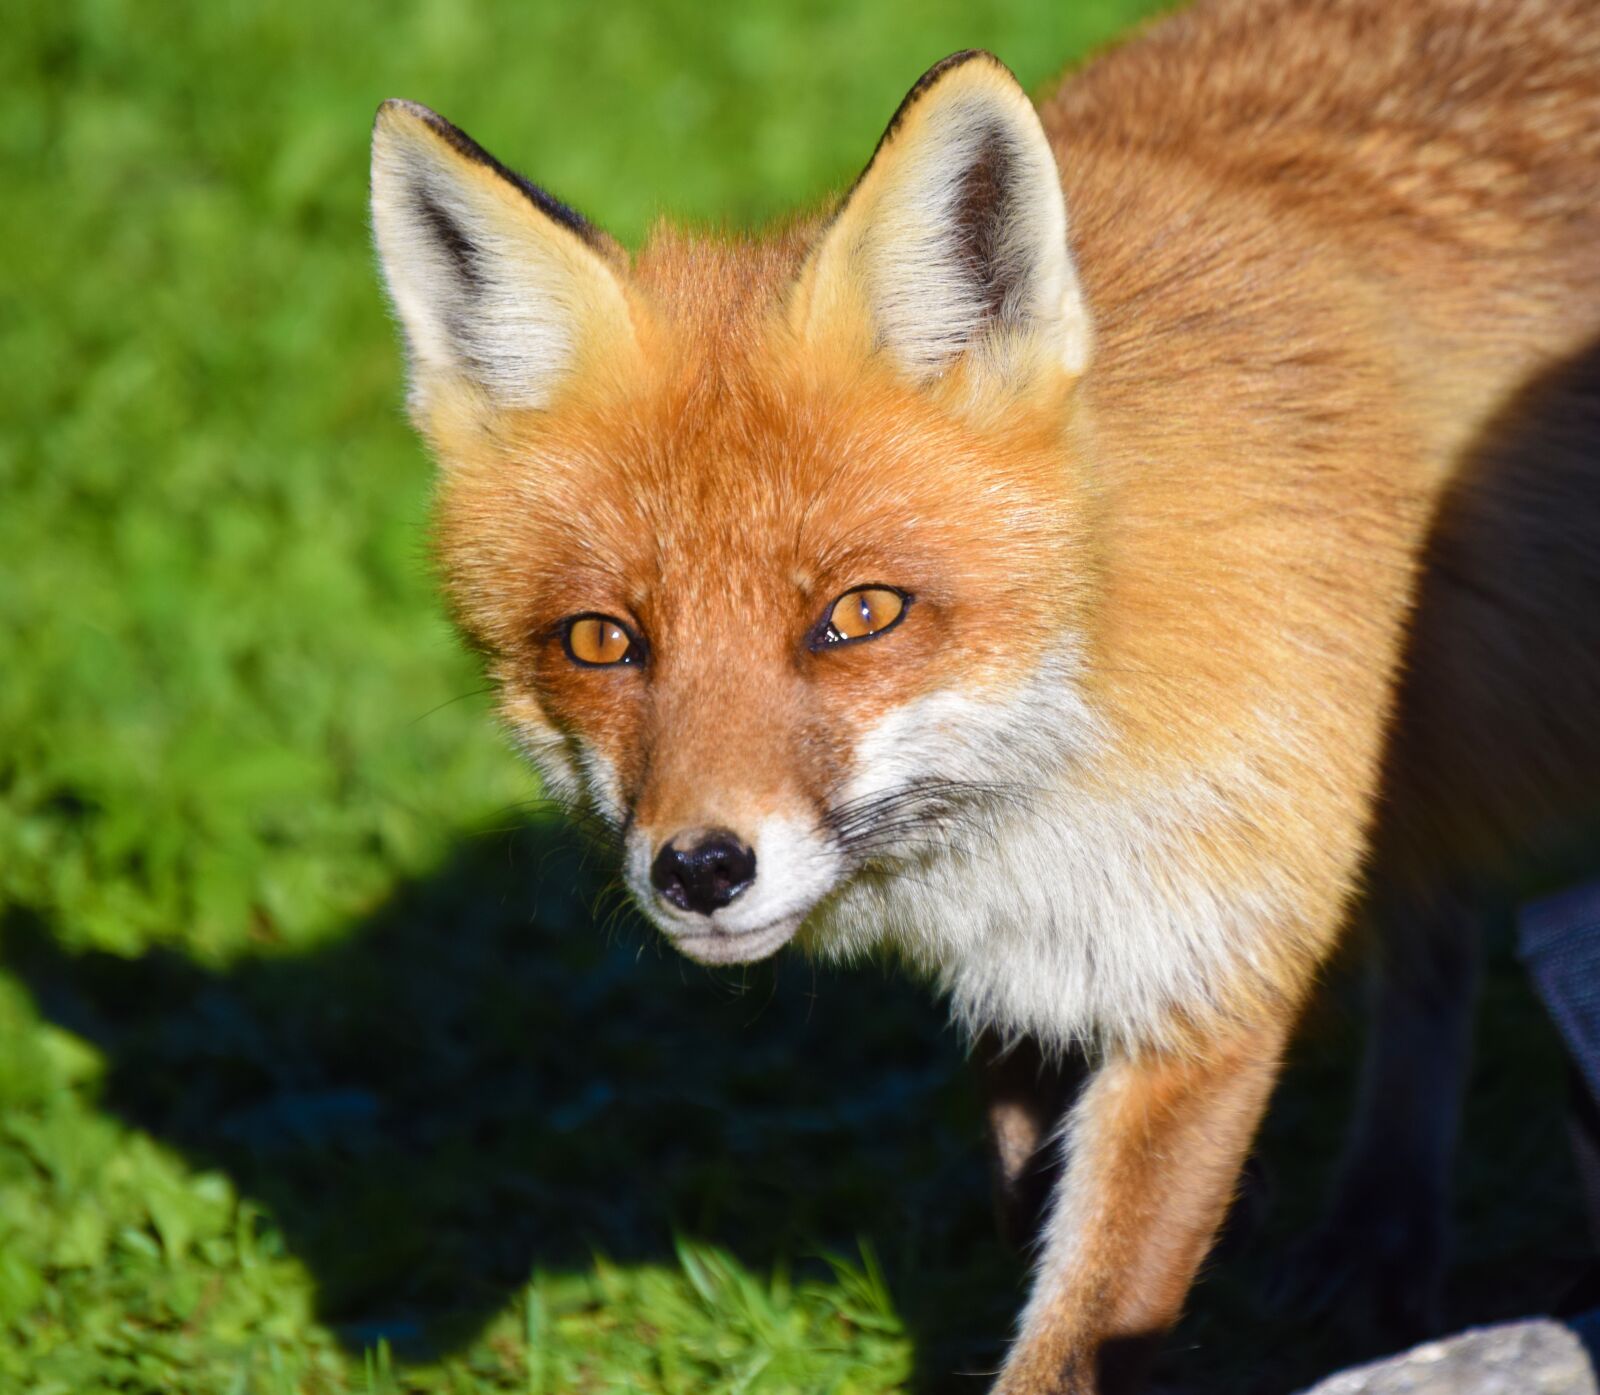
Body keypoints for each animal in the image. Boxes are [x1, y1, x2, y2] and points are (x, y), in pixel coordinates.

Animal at [368, 0, 1600, 1389]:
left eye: (860, 615)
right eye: (601, 640)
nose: (699, 869)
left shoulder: (1212, 965)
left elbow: (1082, 1322)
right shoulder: (1045, 976)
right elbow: (1026, 1183)